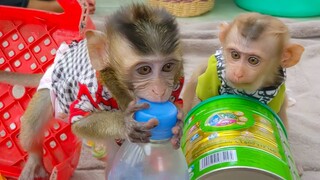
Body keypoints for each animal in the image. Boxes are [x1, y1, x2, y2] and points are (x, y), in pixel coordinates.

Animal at [0, 3, 184, 180]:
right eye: (144, 70)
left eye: (168, 67)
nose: (160, 90)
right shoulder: (91, 90)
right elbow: (79, 123)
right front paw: (125, 123)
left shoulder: (178, 82)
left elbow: (177, 105)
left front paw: (178, 127)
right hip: (50, 88)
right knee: (34, 122)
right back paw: (34, 160)